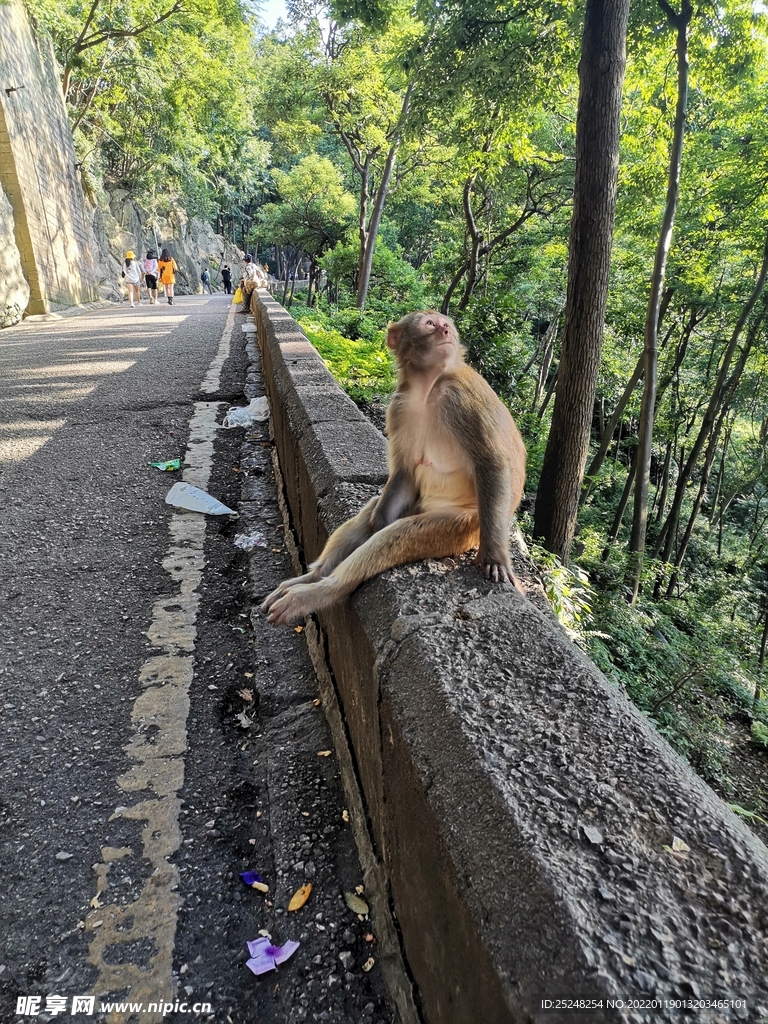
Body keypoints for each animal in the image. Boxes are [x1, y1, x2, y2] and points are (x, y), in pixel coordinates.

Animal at [262, 307, 528, 626]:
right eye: (430, 324)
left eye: (447, 325)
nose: (446, 332)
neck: (428, 386)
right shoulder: (399, 406)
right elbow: (405, 470)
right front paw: (379, 519)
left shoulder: (464, 395)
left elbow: (491, 463)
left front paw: (495, 558)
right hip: (419, 505)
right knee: (373, 514)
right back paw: (313, 577)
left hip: (462, 525)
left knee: (400, 535)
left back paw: (321, 591)